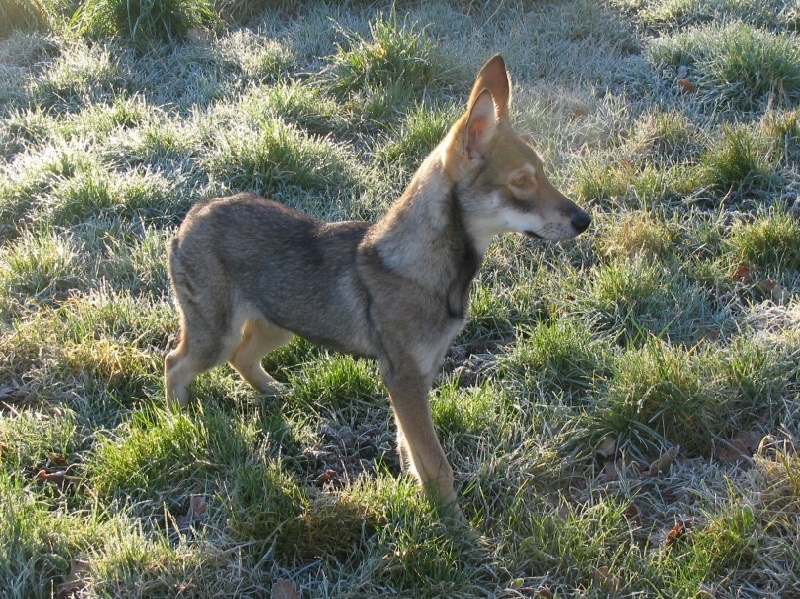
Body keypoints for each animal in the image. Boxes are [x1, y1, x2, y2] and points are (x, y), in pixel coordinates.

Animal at [164, 56, 588, 512]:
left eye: (543, 173)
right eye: (521, 182)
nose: (585, 220)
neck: (429, 271)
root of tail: (195, 212)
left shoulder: (418, 376)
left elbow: (411, 450)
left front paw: (418, 492)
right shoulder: (403, 378)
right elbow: (437, 464)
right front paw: (453, 522)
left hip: (278, 325)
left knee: (241, 358)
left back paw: (275, 392)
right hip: (216, 336)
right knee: (175, 362)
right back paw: (180, 419)